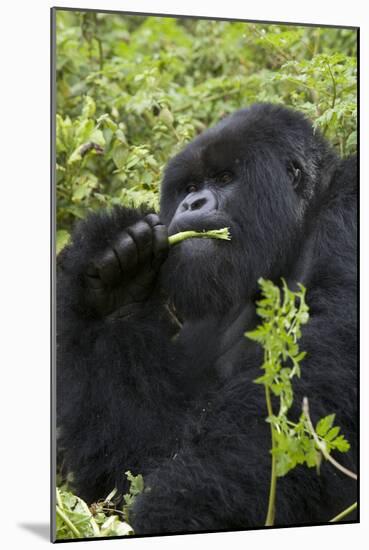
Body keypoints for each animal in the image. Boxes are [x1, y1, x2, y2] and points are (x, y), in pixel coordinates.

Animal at [56, 102, 356, 536]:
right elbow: (130, 463)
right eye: (189, 186)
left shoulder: (350, 214)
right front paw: (117, 288)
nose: (192, 205)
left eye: (225, 178)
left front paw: (175, 511)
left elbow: (308, 394)